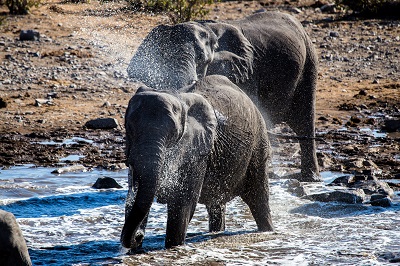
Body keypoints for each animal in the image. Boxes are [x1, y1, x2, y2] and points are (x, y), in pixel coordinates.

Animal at [120, 74, 274, 249]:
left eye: (174, 134)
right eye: (129, 128)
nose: (139, 236)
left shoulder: (196, 152)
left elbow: (182, 204)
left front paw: (173, 248)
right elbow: (133, 199)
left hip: (258, 147)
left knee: (259, 200)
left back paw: (268, 231)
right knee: (216, 205)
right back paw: (216, 232)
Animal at [126, 10, 320, 181]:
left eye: (202, 59)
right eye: (162, 57)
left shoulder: (246, 72)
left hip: (309, 61)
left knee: (304, 120)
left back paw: (310, 179)